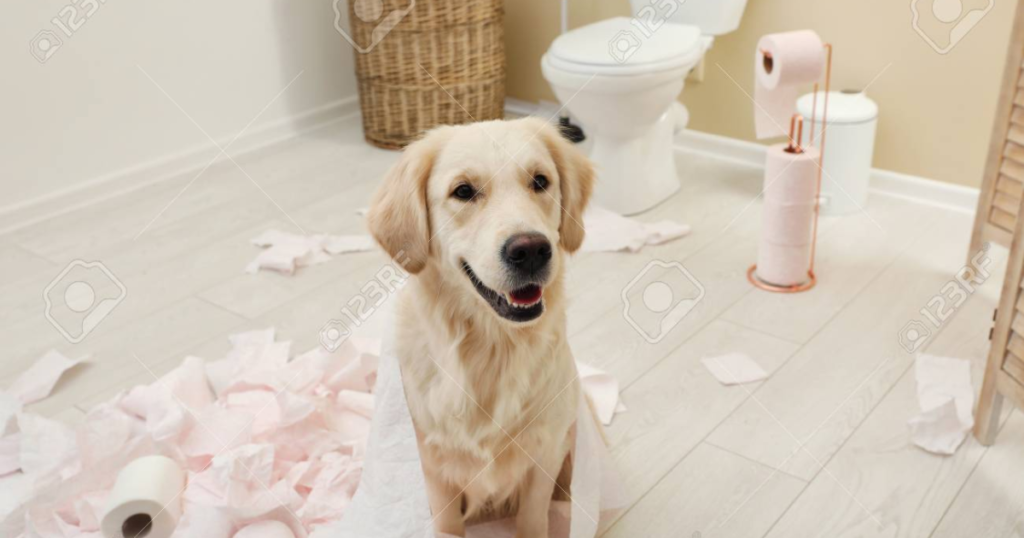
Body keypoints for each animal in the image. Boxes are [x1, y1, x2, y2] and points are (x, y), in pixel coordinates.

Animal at [366, 118, 593, 536]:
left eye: (540, 181)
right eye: (463, 191)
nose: (530, 250)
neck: (492, 348)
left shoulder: (545, 452)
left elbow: (533, 517)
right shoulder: (433, 467)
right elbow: (446, 523)